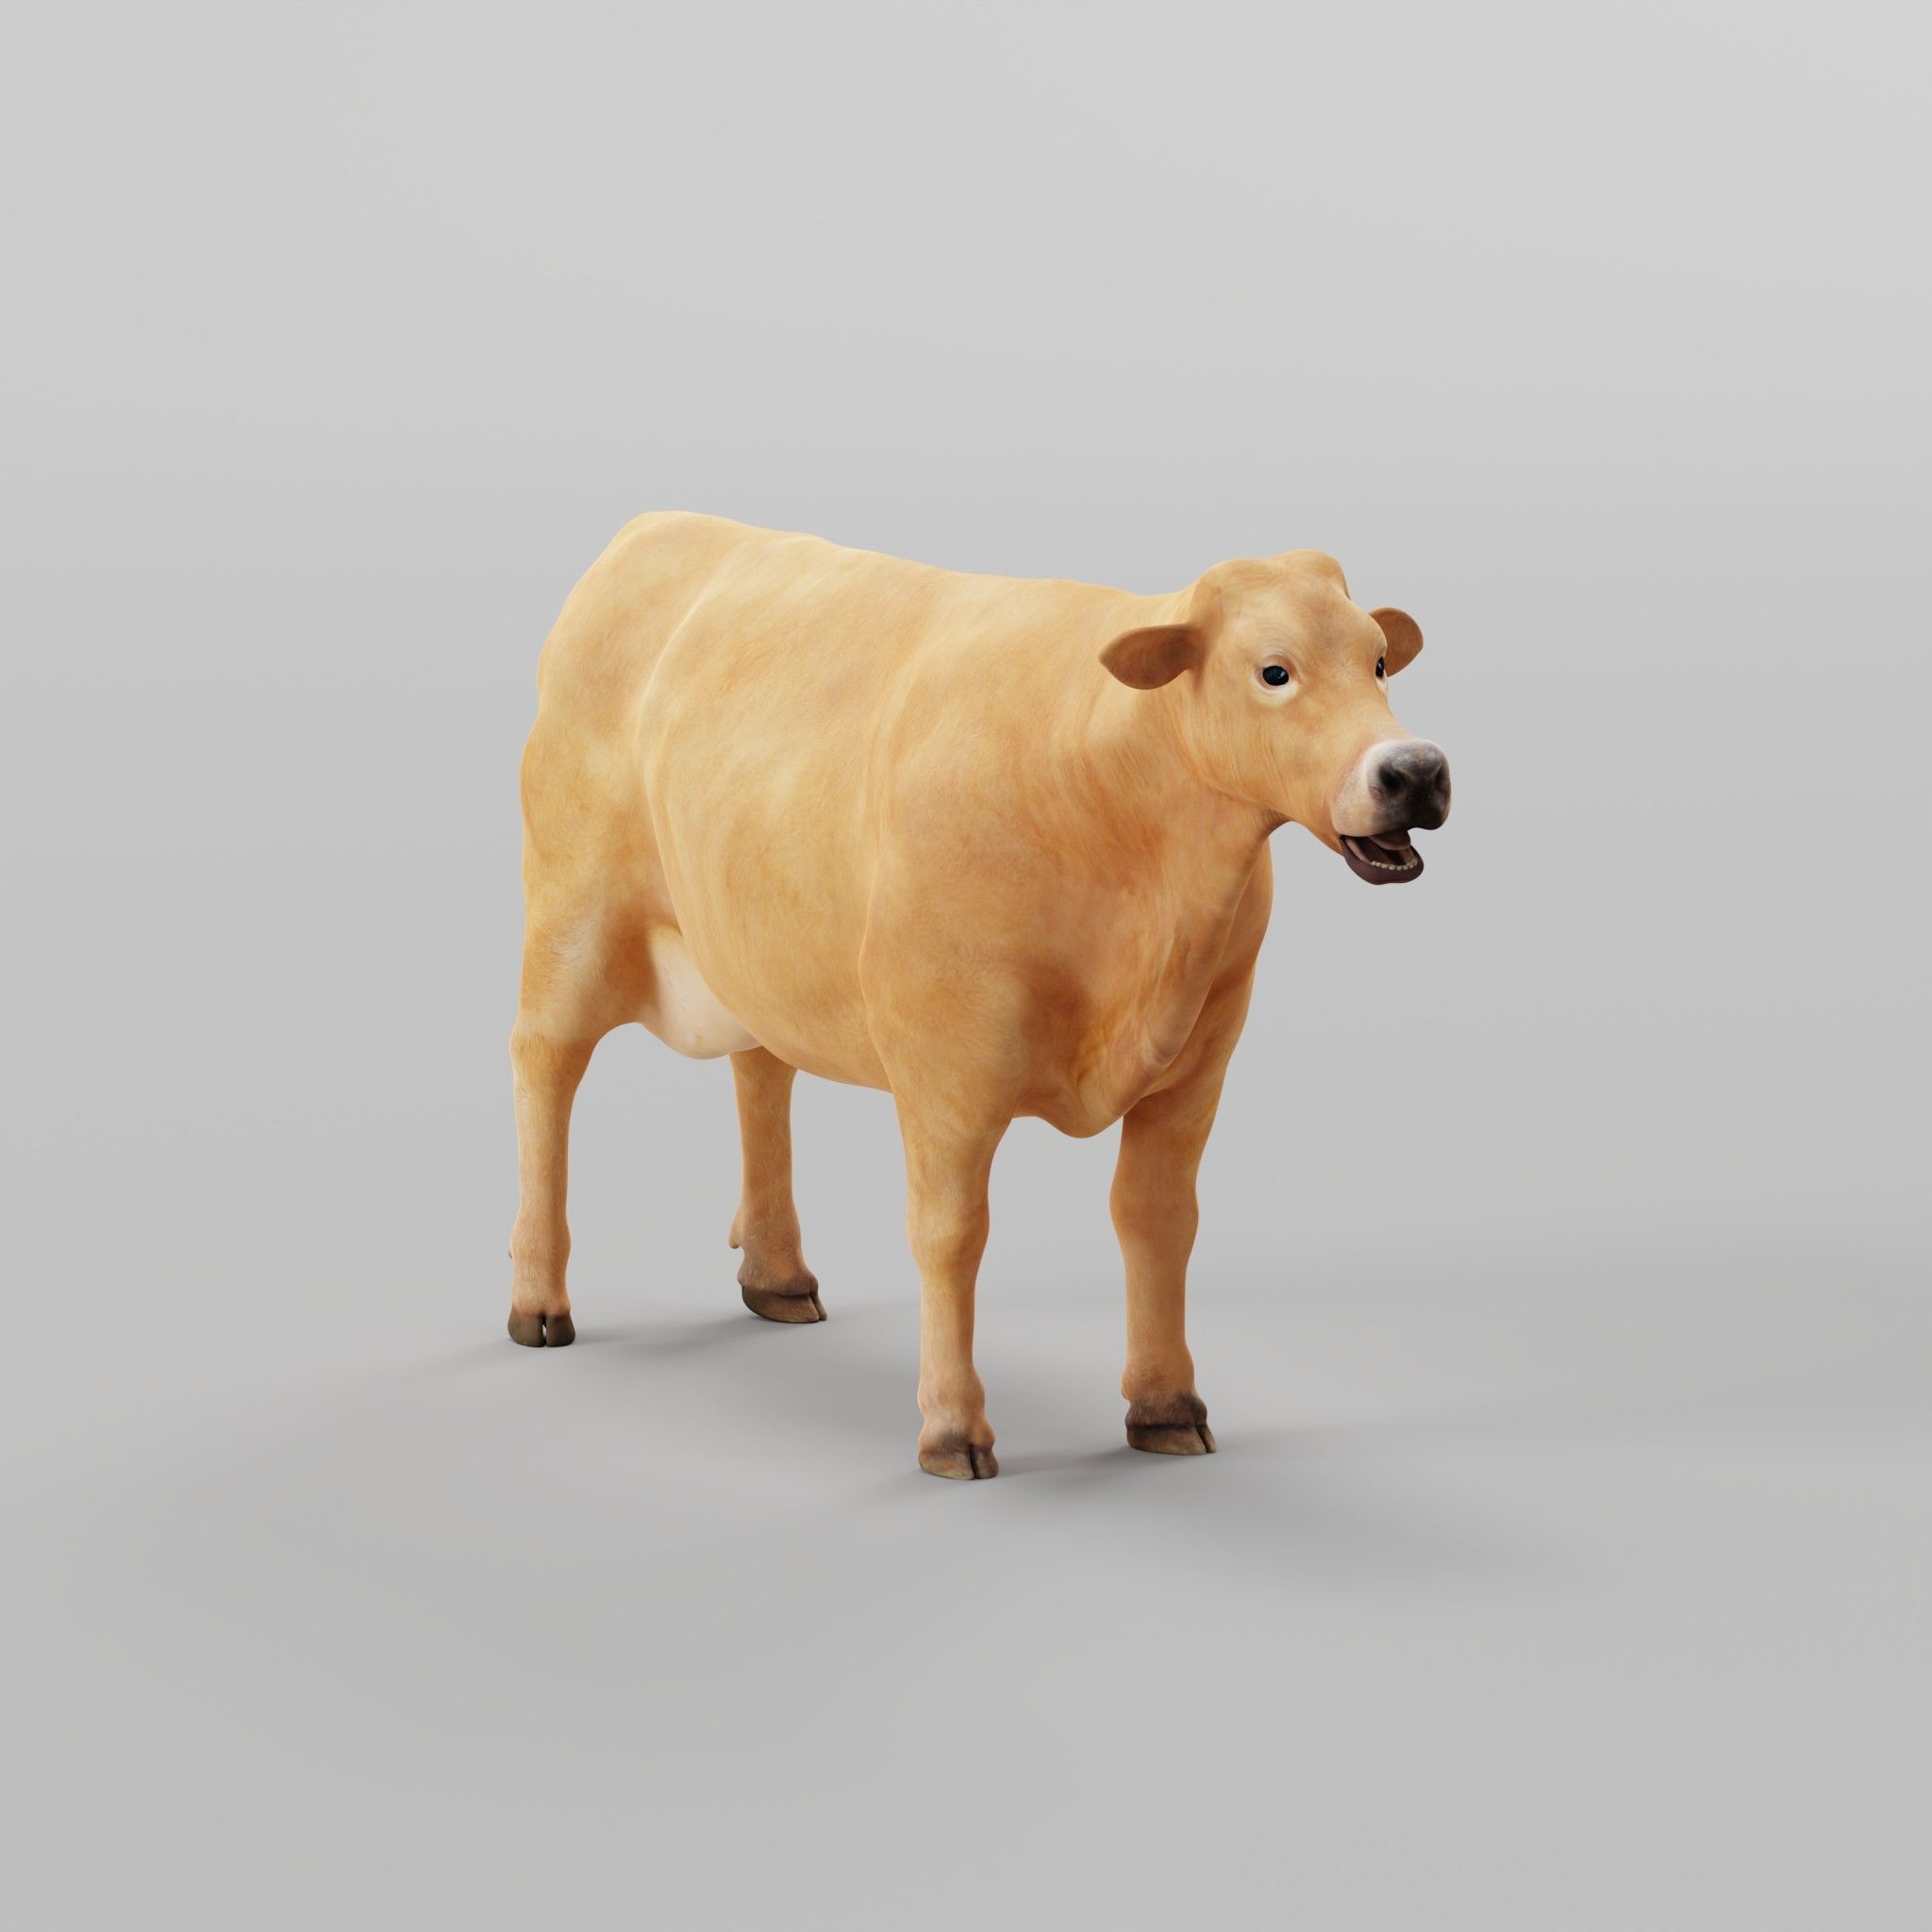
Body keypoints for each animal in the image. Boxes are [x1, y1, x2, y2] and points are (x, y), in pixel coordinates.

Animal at [509, 514, 1451, 1478]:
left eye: (1379, 660)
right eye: (1274, 671)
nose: (1415, 770)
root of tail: (654, 527)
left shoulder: (1198, 1063)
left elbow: (1159, 1222)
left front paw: (1165, 1408)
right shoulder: (945, 1069)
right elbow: (950, 1234)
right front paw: (953, 1428)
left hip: (755, 938)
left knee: (762, 1072)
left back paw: (778, 1279)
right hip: (571, 908)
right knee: (545, 1067)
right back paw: (540, 1302)